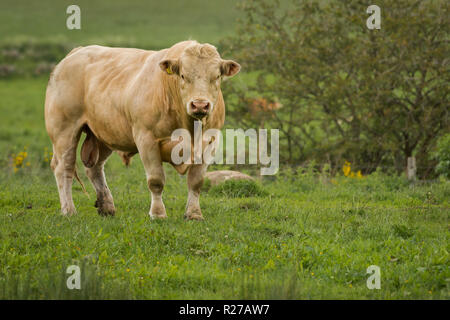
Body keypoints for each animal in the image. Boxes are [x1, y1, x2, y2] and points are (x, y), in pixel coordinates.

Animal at [45, 40, 241, 220]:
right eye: (183, 76)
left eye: (217, 76)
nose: (199, 104)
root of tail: (76, 52)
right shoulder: (146, 138)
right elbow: (156, 180)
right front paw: (158, 213)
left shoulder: (210, 142)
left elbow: (196, 181)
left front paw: (193, 213)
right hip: (64, 129)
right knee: (64, 167)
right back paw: (69, 210)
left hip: (104, 133)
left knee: (95, 169)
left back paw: (107, 207)